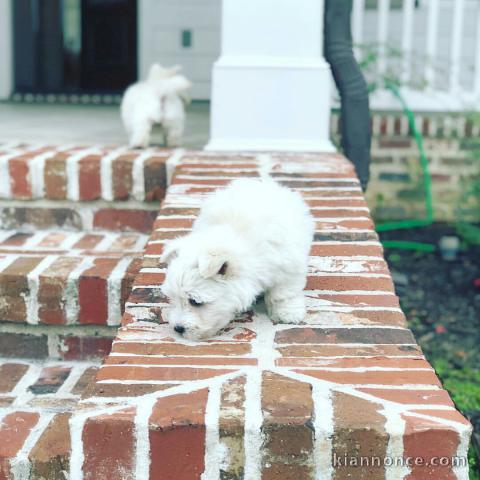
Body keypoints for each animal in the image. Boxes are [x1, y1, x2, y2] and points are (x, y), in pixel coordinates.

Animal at [160, 178, 316, 340]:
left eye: (195, 302)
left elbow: (284, 293)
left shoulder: (288, 265)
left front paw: (287, 312)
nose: (178, 328)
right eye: (172, 298)